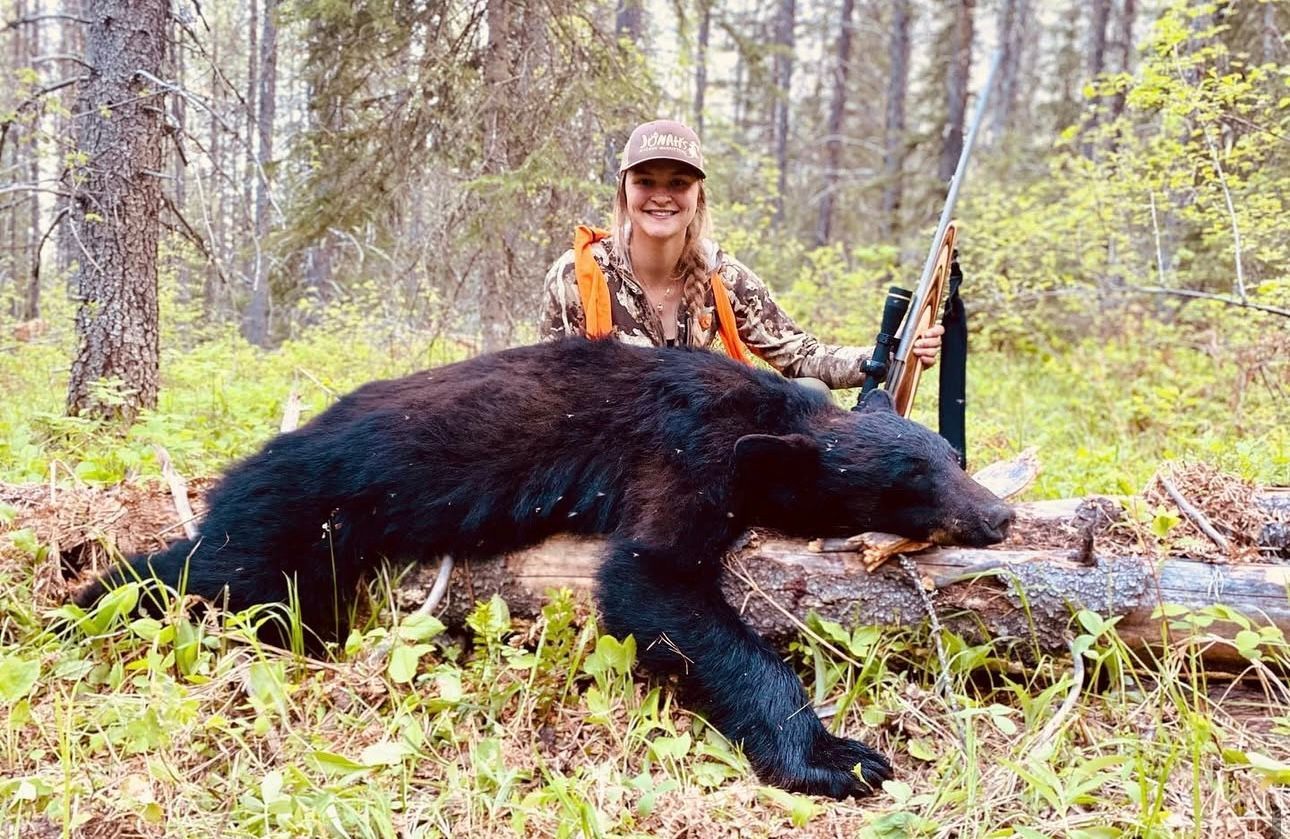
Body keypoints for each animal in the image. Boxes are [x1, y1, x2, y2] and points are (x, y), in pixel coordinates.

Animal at [75, 337, 1013, 800]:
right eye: (912, 481)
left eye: (952, 455)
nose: (1000, 516)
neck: (765, 416)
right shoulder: (687, 456)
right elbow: (652, 582)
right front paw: (835, 757)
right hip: (296, 510)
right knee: (211, 568)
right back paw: (86, 595)